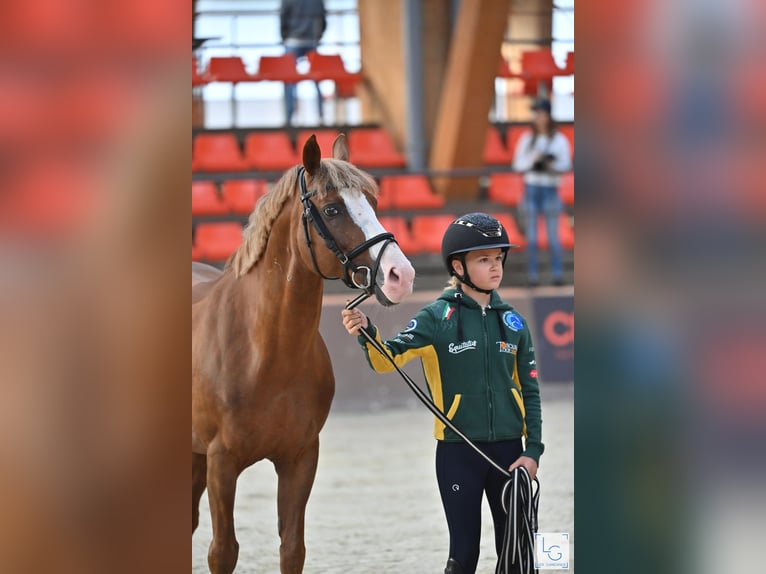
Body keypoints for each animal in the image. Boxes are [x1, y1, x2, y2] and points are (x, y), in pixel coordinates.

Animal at [195, 136, 416, 574]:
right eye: (332, 209)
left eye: (371, 201)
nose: (401, 276)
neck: (265, 352)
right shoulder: (220, 464)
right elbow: (223, 551)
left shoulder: (300, 459)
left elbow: (292, 549)